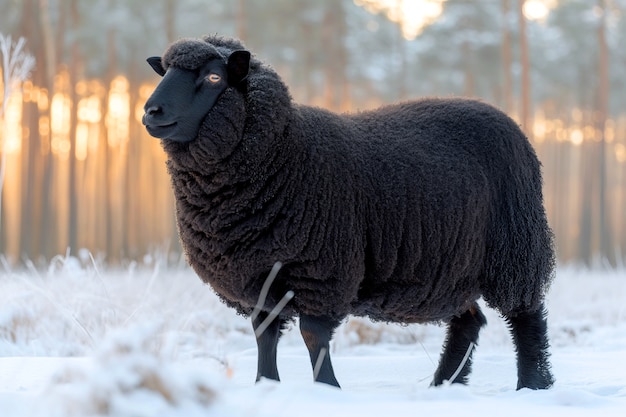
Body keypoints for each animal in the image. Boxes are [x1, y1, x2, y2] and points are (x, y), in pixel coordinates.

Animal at [144, 35, 552, 390]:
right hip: (454, 269)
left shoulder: (322, 269)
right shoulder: (258, 273)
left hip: (516, 250)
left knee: (526, 317)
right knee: (469, 321)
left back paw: (532, 385)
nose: (151, 111)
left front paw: (328, 389)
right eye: (164, 73)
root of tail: (510, 123)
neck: (283, 152)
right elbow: (264, 334)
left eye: (214, 77)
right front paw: (266, 385)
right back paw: (443, 386)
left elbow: (313, 334)